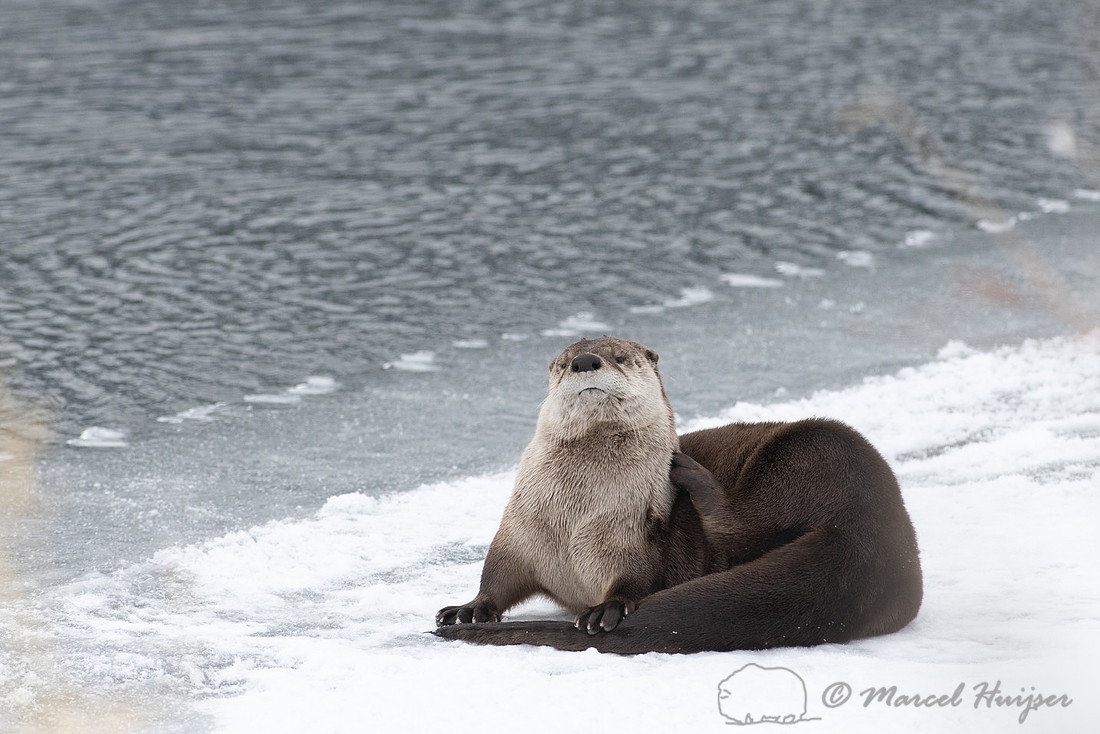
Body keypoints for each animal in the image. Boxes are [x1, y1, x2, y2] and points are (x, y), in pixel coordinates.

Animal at [435, 336, 922, 653]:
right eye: (562, 363)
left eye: (620, 357)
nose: (585, 361)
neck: (574, 519)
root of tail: (875, 523)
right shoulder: (519, 529)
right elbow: (498, 573)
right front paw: (469, 609)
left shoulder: (633, 535)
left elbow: (633, 579)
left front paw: (607, 609)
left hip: (816, 451)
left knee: (741, 522)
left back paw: (690, 472)